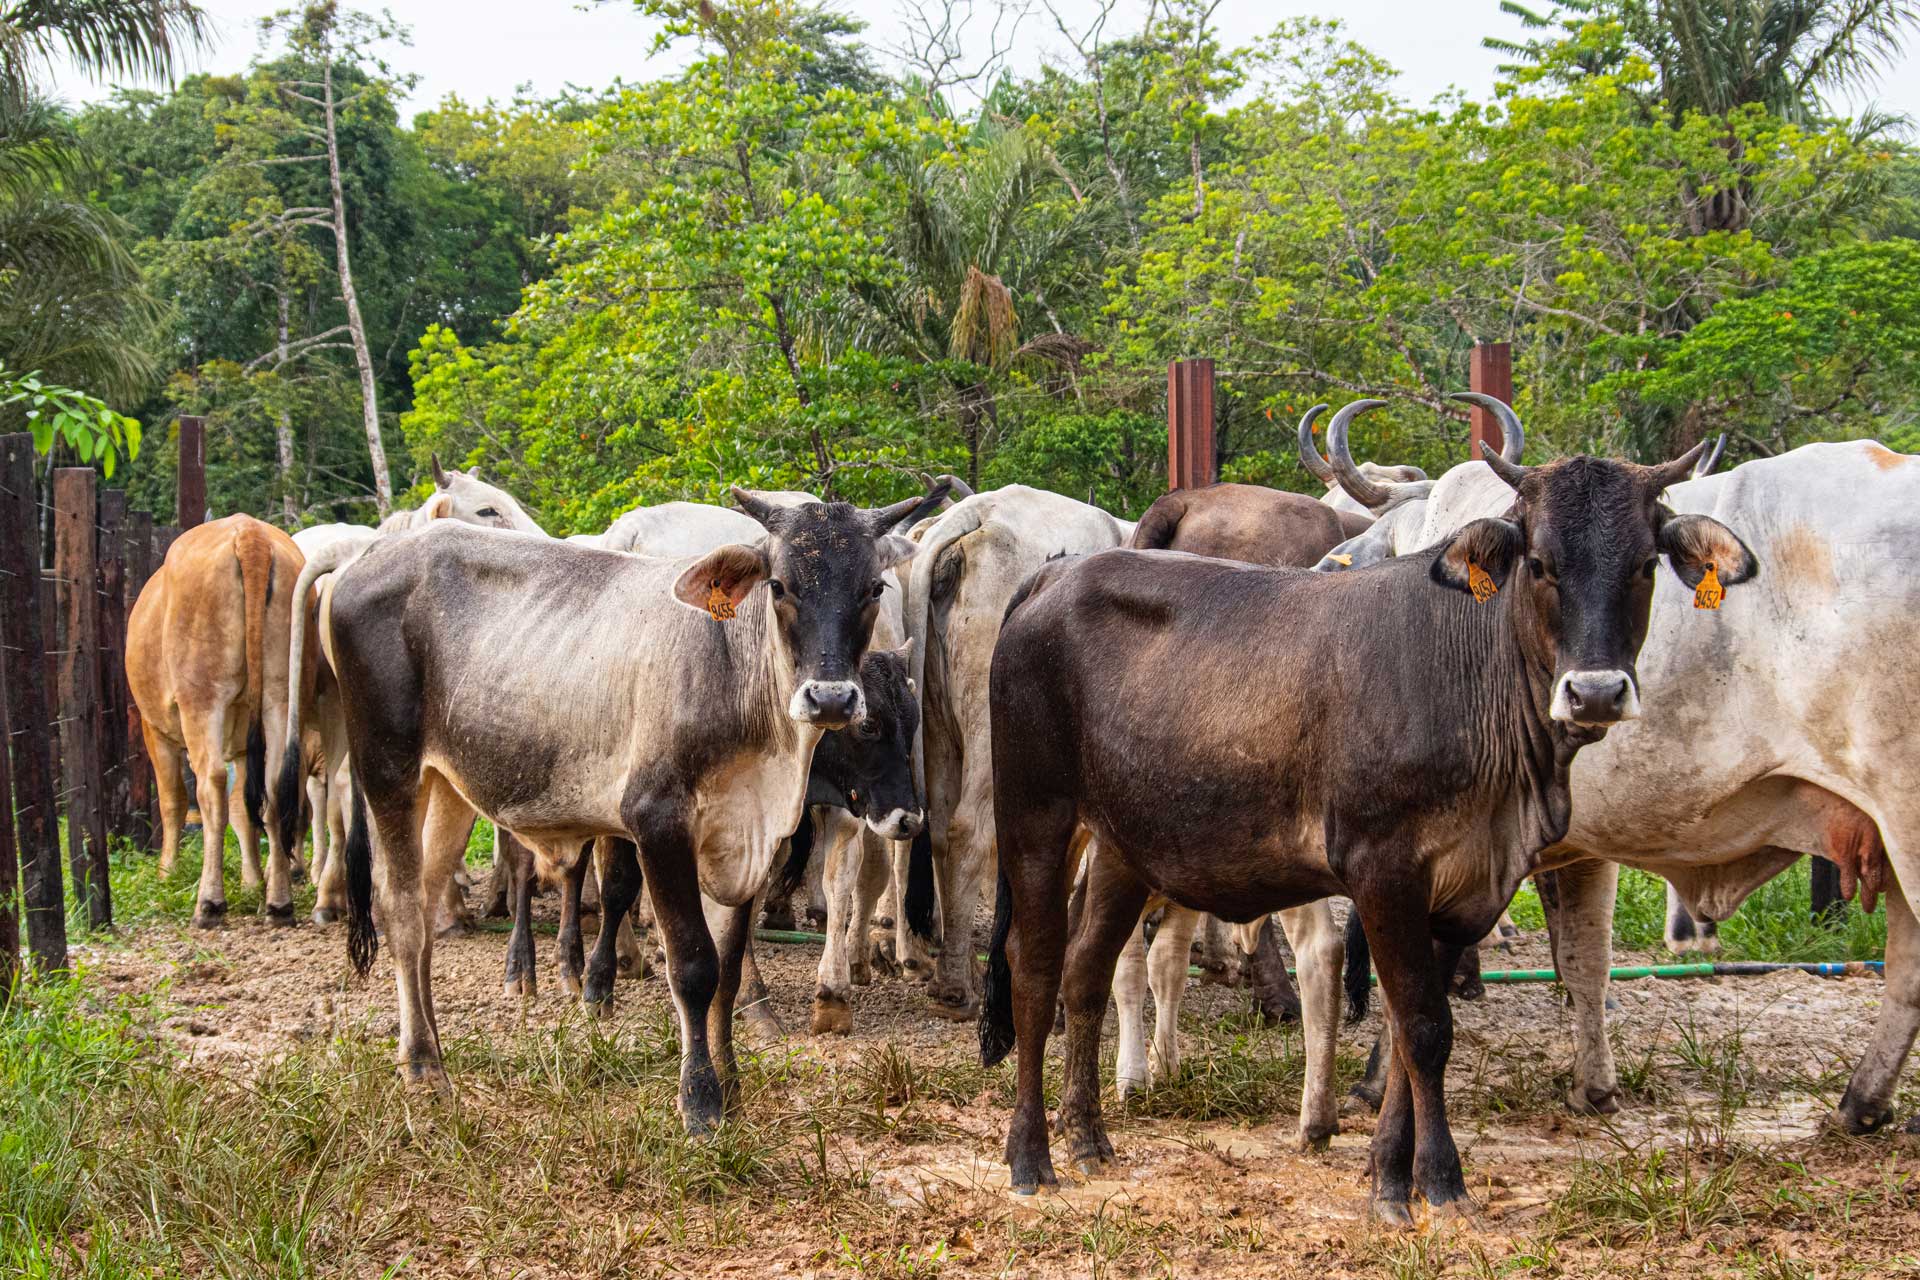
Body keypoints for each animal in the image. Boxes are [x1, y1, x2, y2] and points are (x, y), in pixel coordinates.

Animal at [127, 514, 316, 924]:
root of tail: (249, 534)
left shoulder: (155, 732)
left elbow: (173, 801)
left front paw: (167, 872)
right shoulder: (245, 745)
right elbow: (243, 808)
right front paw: (252, 881)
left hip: (202, 699)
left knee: (210, 785)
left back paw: (210, 901)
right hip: (280, 696)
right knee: (274, 785)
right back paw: (278, 902)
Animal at [328, 483, 944, 1128]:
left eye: (873, 587)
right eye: (779, 584)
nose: (830, 699)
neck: (731, 670)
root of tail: (369, 558)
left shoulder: (746, 837)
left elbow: (728, 969)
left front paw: (730, 1081)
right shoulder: (657, 825)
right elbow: (694, 965)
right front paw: (699, 1100)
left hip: (447, 786)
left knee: (425, 908)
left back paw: (427, 1054)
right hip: (388, 771)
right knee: (400, 910)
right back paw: (425, 1068)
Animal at [902, 485, 1128, 1013]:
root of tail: (976, 512)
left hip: (938, 722)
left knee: (940, 827)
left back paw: (956, 968)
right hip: (991, 726)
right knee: (967, 828)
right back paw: (954, 987)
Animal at [983, 420, 1751, 1220]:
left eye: (1644, 565)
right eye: (1539, 563)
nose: (1595, 692)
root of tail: (1056, 575)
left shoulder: (1466, 888)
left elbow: (1414, 1033)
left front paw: (1392, 1169)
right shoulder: (1384, 871)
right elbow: (1422, 1028)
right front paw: (1436, 1180)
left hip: (1123, 848)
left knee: (1086, 970)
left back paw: (1088, 1137)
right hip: (1036, 818)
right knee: (1035, 969)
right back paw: (1031, 1155)